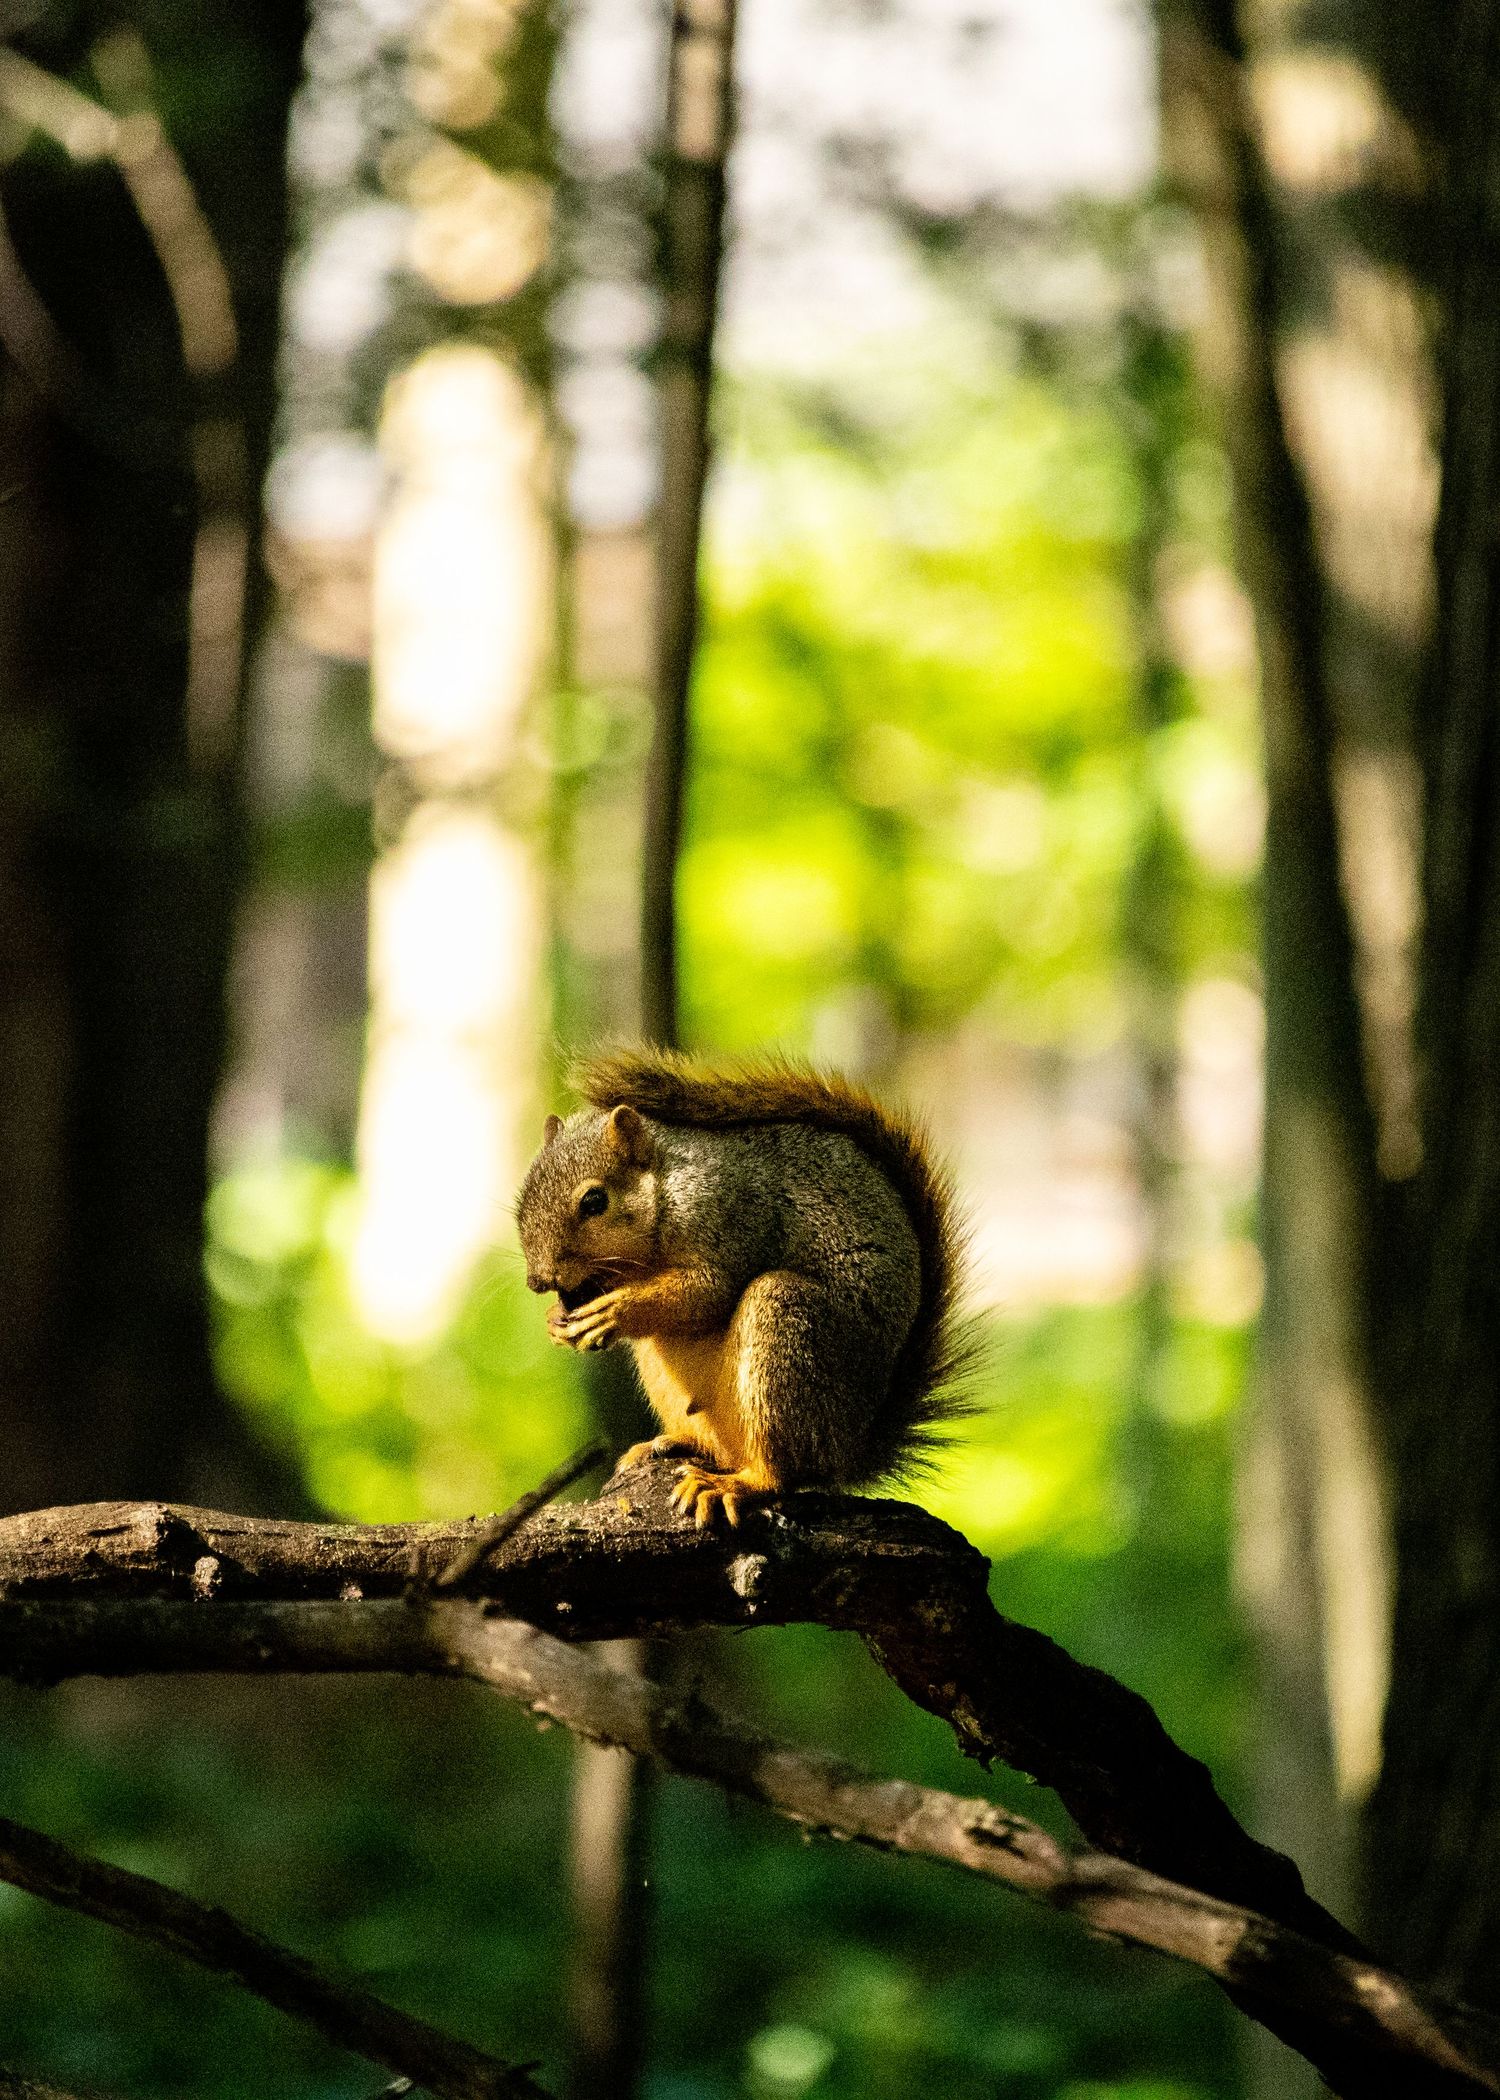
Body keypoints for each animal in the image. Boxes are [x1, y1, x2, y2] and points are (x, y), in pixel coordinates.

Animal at [515, 1047, 968, 1527]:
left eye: (595, 1201)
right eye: (522, 1201)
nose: (538, 1280)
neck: (667, 1188)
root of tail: (851, 1449)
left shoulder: (731, 1218)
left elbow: (709, 1294)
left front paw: (615, 1311)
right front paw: (556, 1321)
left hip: (785, 1320)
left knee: (783, 1472)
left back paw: (736, 1484)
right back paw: (673, 1444)